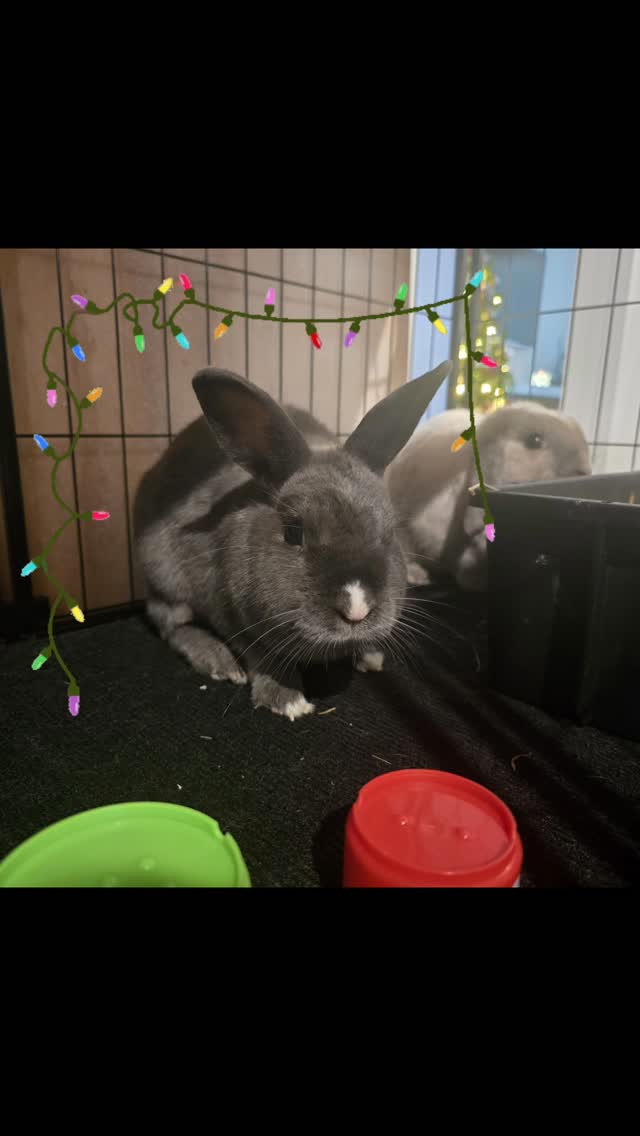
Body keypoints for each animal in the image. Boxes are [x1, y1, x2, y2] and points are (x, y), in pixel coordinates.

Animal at [133, 361, 451, 720]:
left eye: (389, 532)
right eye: (293, 532)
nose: (357, 609)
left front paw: (369, 655)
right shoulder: (231, 615)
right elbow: (262, 656)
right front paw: (286, 699)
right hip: (164, 573)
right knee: (169, 624)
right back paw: (217, 659)